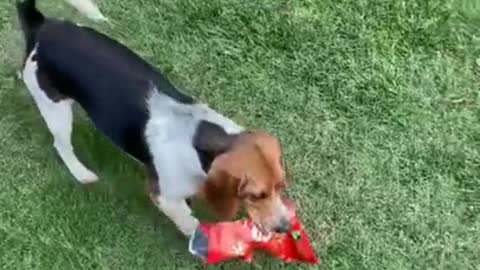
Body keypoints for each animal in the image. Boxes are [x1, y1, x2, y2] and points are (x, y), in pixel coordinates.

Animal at [16, 0, 290, 236]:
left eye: (280, 186)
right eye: (255, 195)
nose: (285, 227)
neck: (197, 136)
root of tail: (42, 25)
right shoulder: (165, 198)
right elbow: (190, 223)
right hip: (56, 110)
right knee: (61, 145)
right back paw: (81, 172)